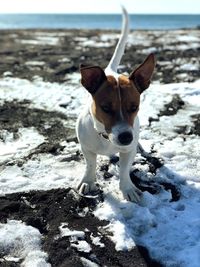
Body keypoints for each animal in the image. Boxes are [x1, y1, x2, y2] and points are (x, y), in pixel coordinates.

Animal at [76, 6, 155, 203]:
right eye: (105, 108)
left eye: (134, 107)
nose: (126, 137)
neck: (106, 138)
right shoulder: (86, 147)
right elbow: (90, 164)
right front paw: (88, 181)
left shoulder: (128, 150)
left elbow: (125, 170)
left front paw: (127, 188)